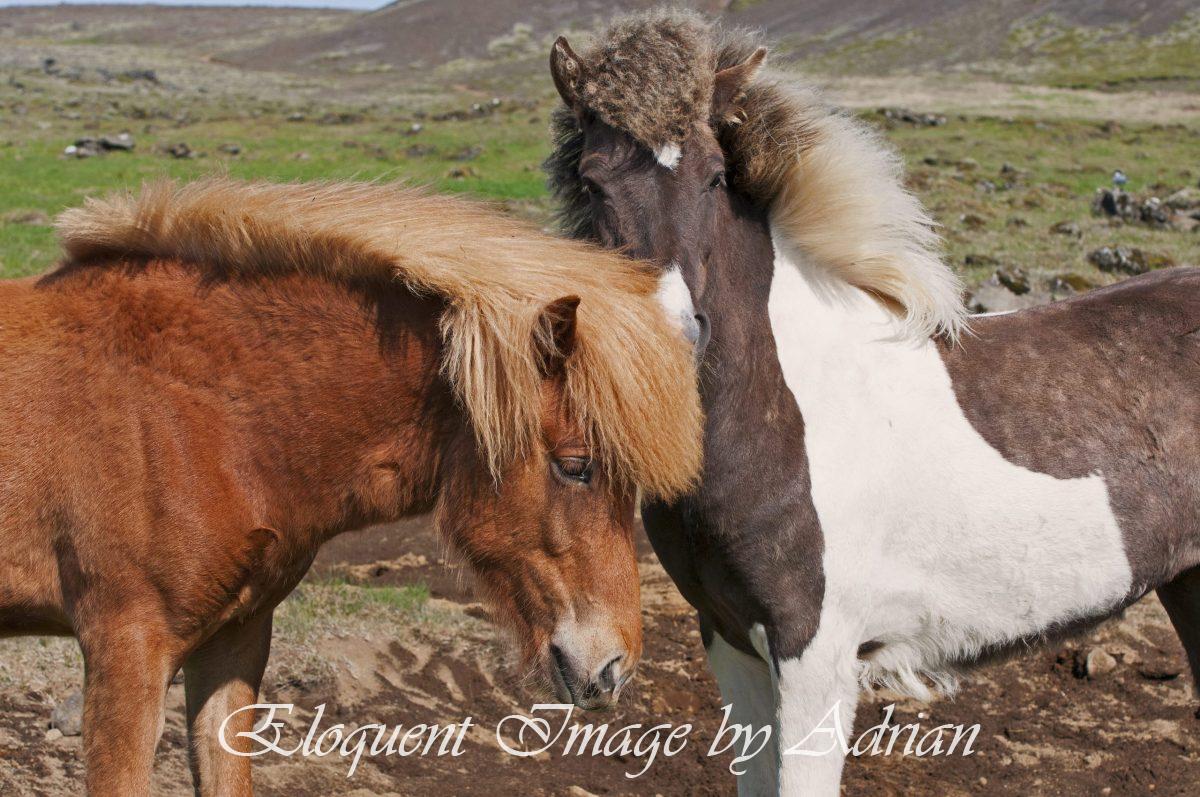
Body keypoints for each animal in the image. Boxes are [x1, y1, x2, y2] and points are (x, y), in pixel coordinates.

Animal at [546, 10, 1200, 795]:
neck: (782, 409)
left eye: (714, 176)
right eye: (591, 183)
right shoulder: (730, 641)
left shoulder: (814, 654)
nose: (669, 336)